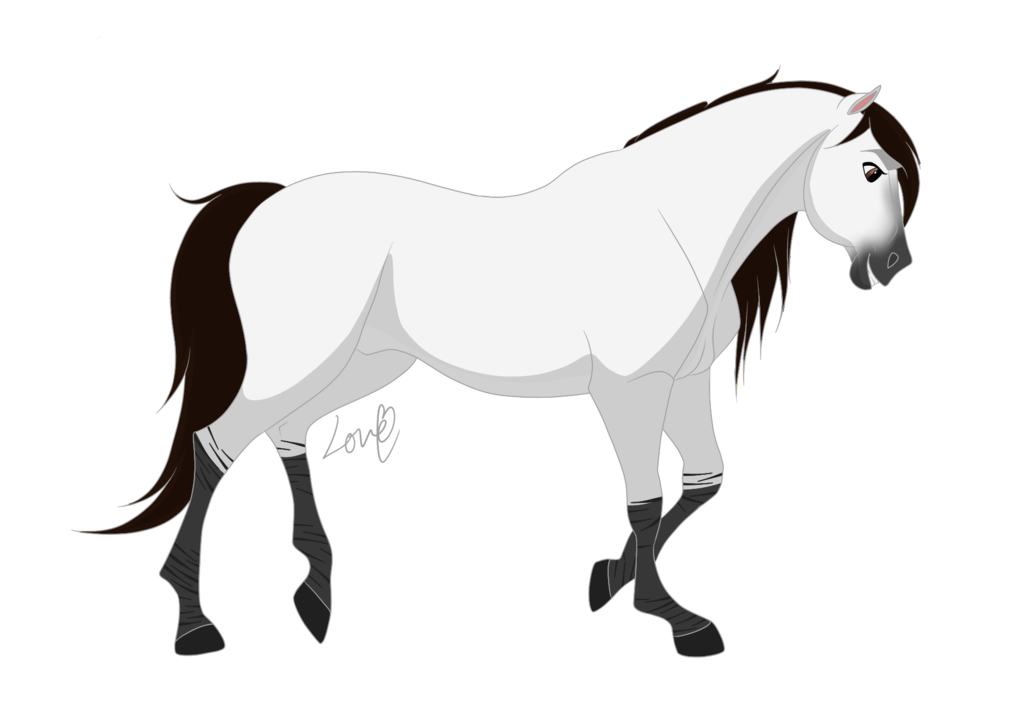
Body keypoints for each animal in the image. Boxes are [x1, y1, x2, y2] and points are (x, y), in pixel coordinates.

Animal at [71, 66, 921, 659]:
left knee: (287, 434)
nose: (895, 267)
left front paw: (611, 583)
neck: (672, 224)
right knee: (218, 444)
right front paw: (673, 619)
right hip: (303, 356)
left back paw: (314, 591)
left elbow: (703, 483)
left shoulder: (683, 386)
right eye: (871, 168)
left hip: (362, 362)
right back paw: (194, 622)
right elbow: (646, 501)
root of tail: (268, 201)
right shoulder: (631, 391)